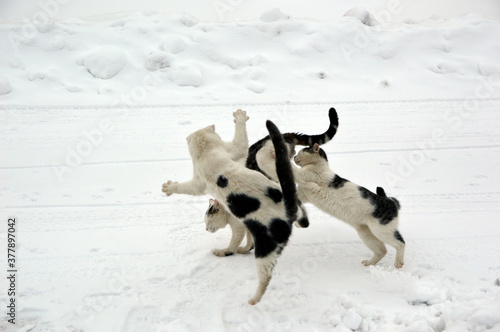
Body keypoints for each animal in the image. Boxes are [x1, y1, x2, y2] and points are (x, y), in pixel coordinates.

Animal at [162, 113, 306, 304]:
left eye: (208, 221)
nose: (206, 228)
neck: (207, 152)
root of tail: (288, 208)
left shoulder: (203, 179)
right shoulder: (230, 154)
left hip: (265, 248)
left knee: (266, 276)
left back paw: (253, 299)